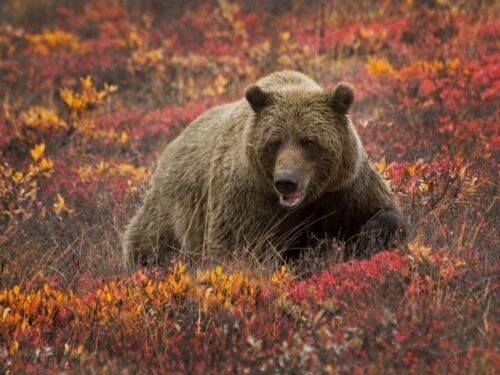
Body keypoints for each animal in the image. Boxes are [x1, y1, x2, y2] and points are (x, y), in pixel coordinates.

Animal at [124, 70, 406, 264]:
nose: (286, 181)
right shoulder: (249, 198)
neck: (305, 202)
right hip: (171, 210)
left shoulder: (344, 189)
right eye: (275, 142)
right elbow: (238, 247)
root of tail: (172, 143)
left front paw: (368, 240)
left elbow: (383, 214)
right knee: (149, 242)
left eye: (309, 141)